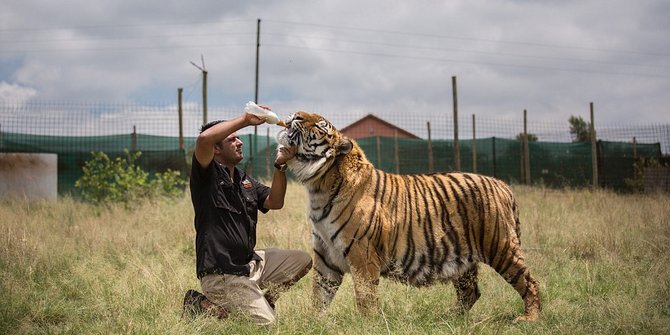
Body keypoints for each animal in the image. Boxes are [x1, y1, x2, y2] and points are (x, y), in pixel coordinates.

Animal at [276, 111, 544, 322]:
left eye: (321, 126)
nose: (296, 115)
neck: (318, 187)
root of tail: (503, 185)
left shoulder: (362, 253)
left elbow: (364, 295)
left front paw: (367, 323)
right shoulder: (325, 254)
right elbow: (320, 293)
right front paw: (314, 321)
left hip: (500, 247)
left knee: (529, 282)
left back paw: (528, 318)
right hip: (463, 259)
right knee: (471, 292)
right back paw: (447, 317)